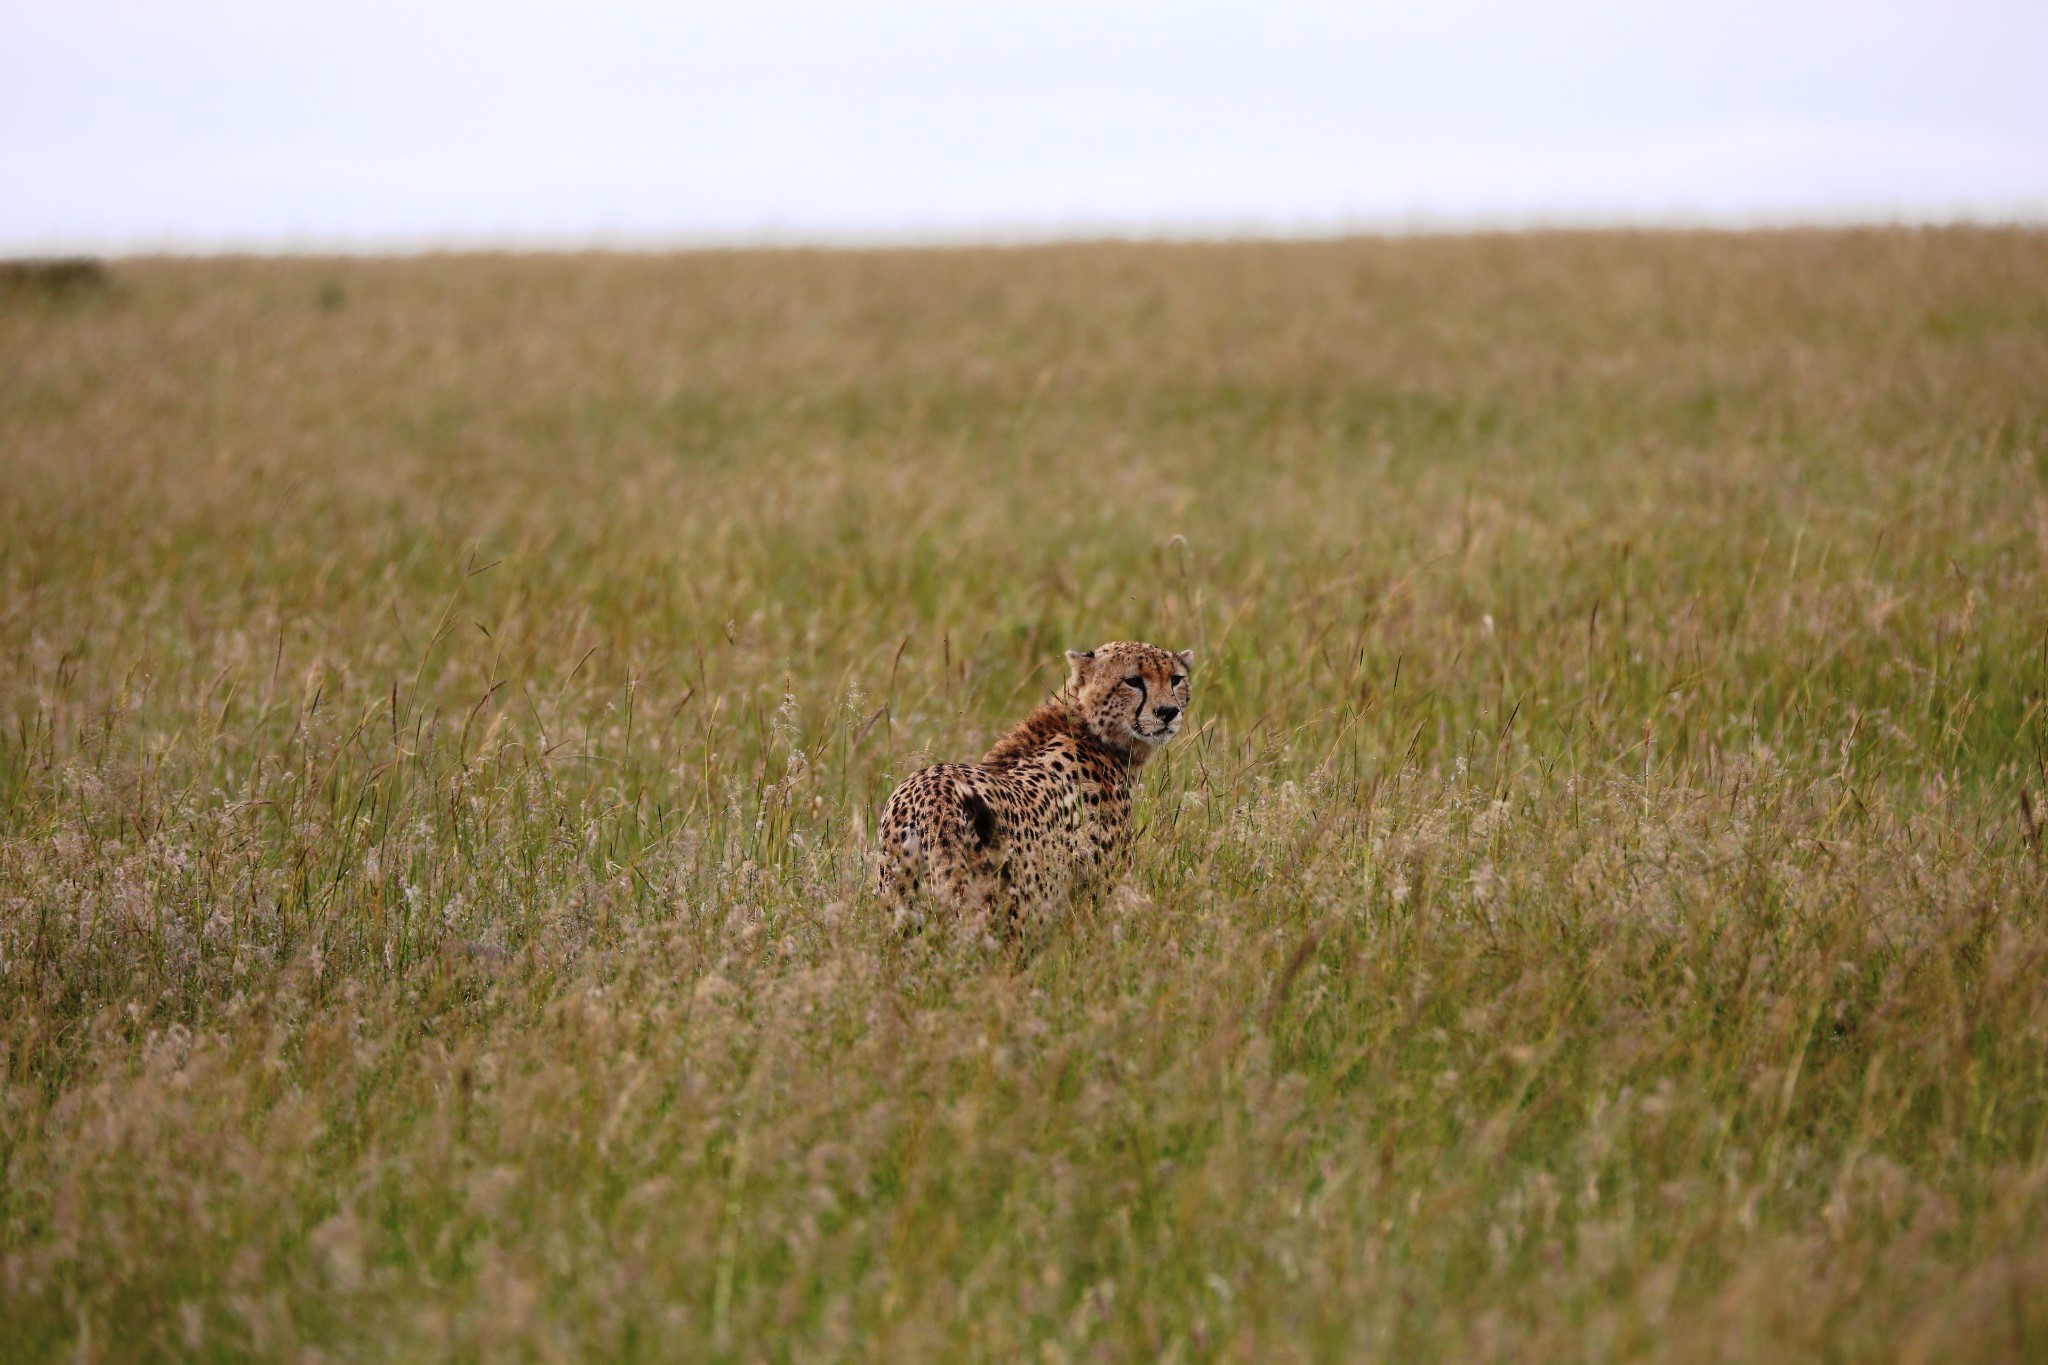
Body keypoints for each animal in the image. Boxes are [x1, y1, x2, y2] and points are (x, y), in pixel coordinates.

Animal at [872, 642, 1196, 929]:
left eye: (1176, 679)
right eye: (1132, 681)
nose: (1168, 712)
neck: (1087, 727)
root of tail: (931, 793)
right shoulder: (1099, 888)